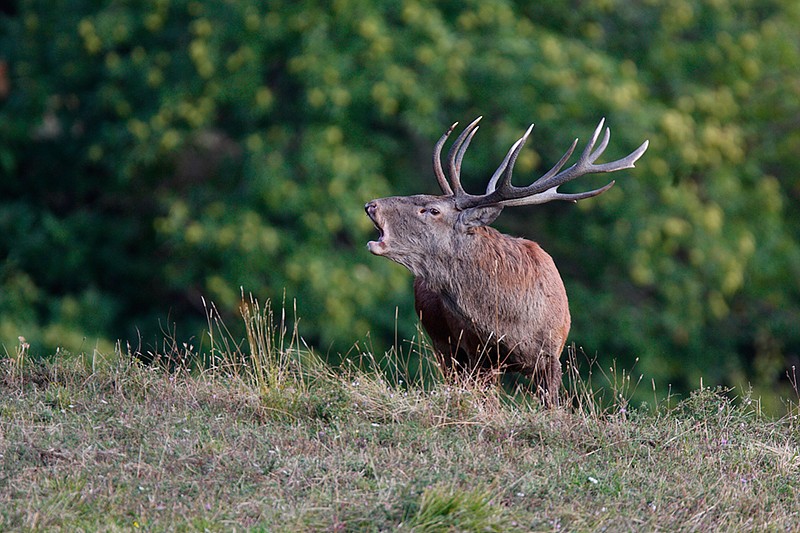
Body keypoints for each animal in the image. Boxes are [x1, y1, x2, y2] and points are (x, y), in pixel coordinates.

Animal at [366, 117, 648, 404]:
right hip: (443, 346)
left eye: (433, 210)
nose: (371, 205)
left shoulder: (552, 354)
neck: (512, 323)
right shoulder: (477, 352)